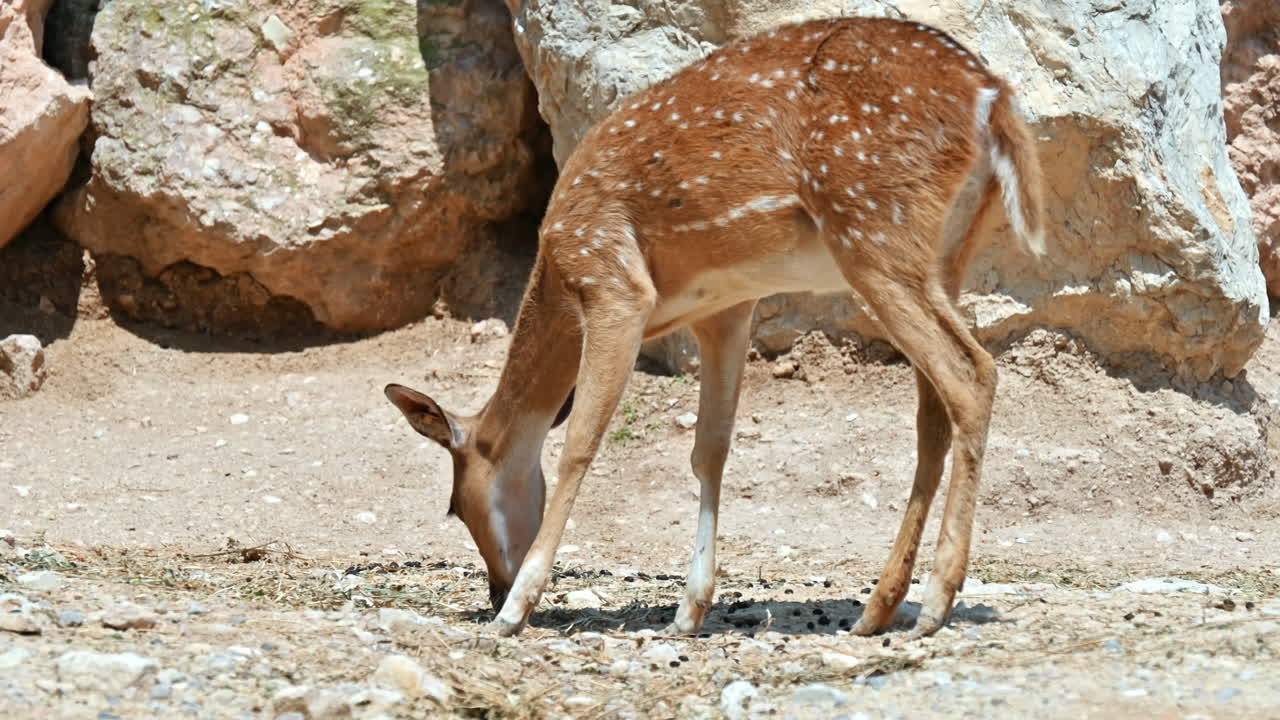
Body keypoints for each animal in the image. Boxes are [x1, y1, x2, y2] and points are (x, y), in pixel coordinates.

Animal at [385, 15, 1044, 639]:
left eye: (455, 504)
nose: (495, 588)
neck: (557, 268)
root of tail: (991, 95)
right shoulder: (724, 308)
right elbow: (711, 449)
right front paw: (688, 612)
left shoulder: (614, 284)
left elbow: (579, 445)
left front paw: (517, 611)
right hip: (948, 252)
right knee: (934, 412)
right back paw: (879, 608)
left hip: (873, 226)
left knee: (972, 374)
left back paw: (934, 604)